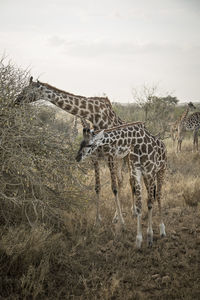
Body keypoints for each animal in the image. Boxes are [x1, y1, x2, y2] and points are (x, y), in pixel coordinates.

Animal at [15, 77, 124, 223]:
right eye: (23, 89)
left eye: (28, 91)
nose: (16, 101)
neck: (94, 115)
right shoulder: (94, 156)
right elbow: (97, 187)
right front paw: (97, 220)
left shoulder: (110, 154)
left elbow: (114, 188)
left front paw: (120, 222)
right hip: (118, 160)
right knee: (121, 180)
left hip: (125, 158)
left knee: (126, 181)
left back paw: (123, 215)